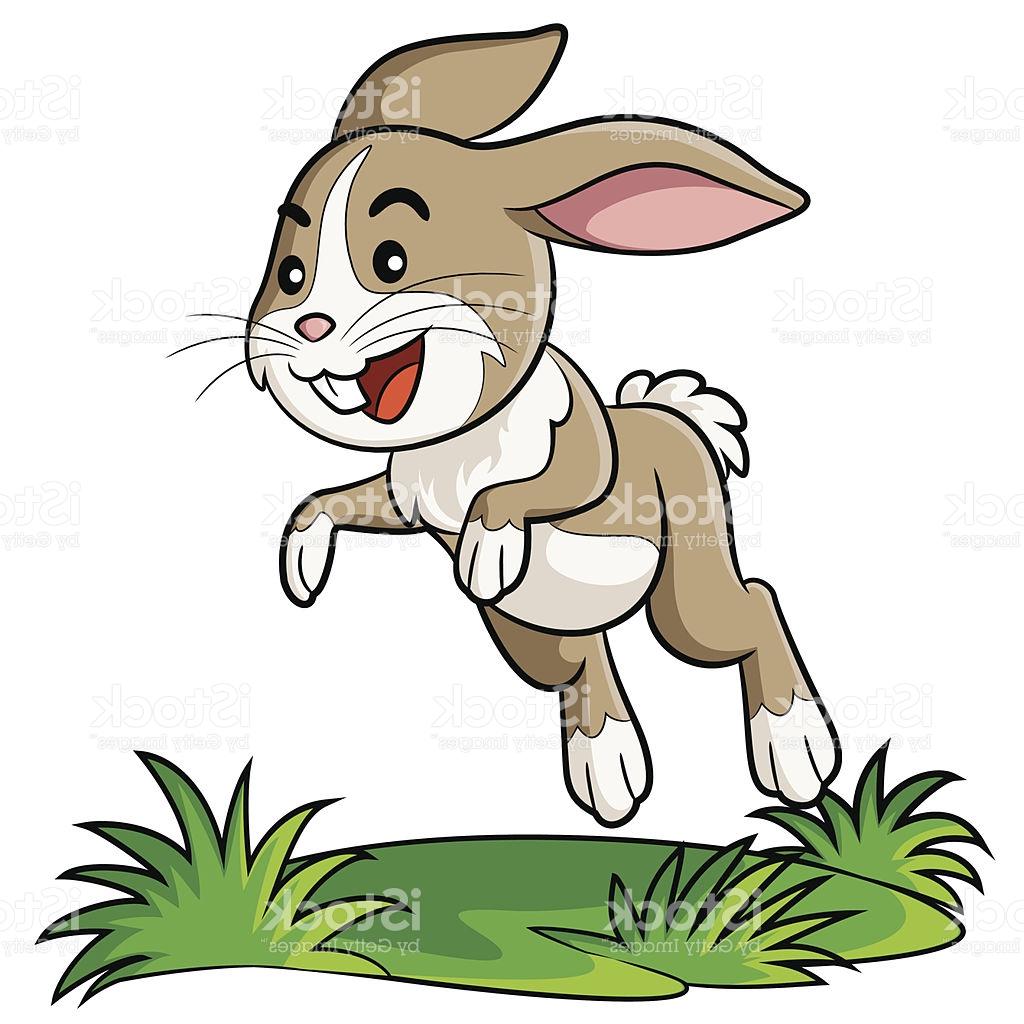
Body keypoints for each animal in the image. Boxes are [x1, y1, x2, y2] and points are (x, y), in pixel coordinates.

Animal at [244, 25, 840, 826]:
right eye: (292, 274)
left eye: (391, 260)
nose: (305, 327)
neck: (456, 445)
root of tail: (671, 414)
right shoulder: (404, 499)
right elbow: (333, 501)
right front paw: (303, 561)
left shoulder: (587, 462)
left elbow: (545, 486)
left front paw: (489, 542)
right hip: (531, 634)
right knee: (582, 663)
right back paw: (607, 761)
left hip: (687, 598)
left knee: (753, 608)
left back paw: (795, 748)